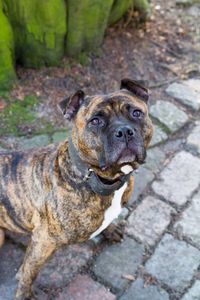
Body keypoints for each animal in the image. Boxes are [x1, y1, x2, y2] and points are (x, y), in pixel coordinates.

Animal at [0, 78, 153, 298]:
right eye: (95, 121)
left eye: (136, 113)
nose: (124, 131)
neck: (97, 178)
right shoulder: (43, 241)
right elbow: (29, 271)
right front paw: (24, 294)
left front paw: (111, 229)